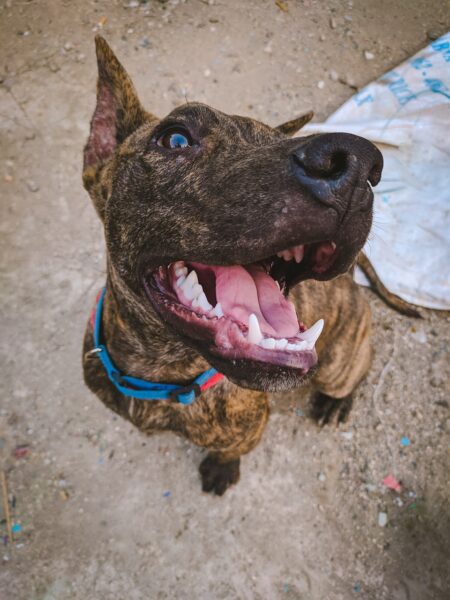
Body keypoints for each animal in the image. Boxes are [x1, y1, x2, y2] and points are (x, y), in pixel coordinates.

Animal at [81, 38, 384, 496]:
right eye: (174, 138)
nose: (358, 164)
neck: (162, 374)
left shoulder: (248, 429)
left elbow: (229, 451)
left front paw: (222, 468)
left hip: (337, 365)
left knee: (357, 370)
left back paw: (337, 401)